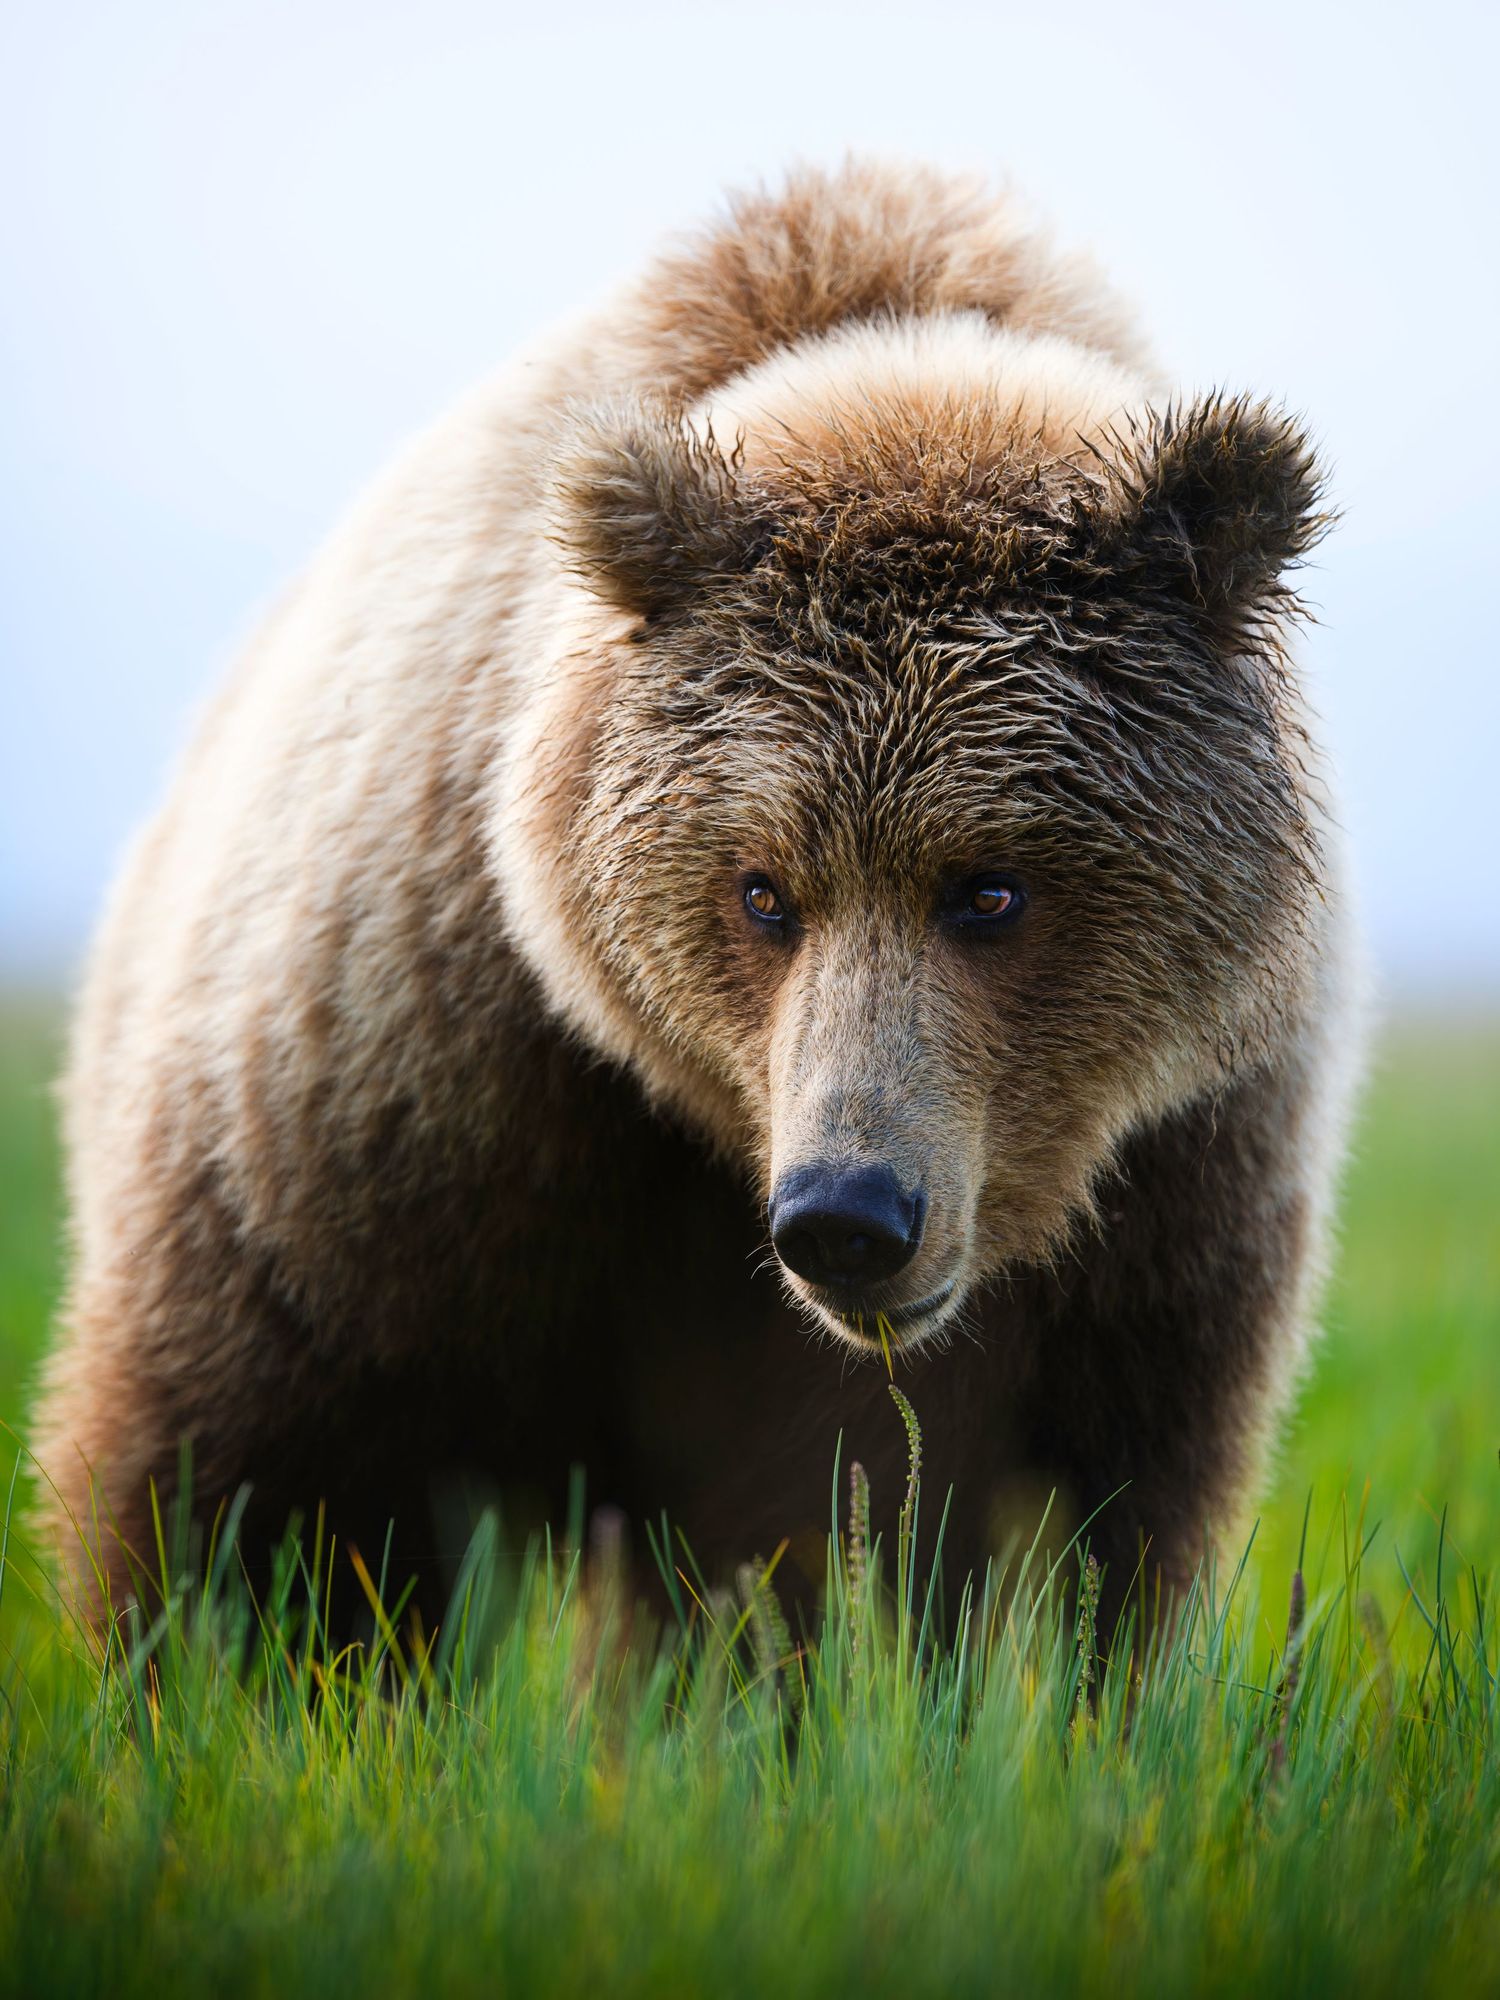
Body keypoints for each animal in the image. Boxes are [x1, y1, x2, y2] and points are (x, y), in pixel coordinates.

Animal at [34, 160, 1362, 1635]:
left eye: (991, 889)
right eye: (763, 889)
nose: (847, 1216)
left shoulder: (1166, 1211)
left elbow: (1036, 1543)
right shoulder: (423, 1081)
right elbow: (274, 1475)